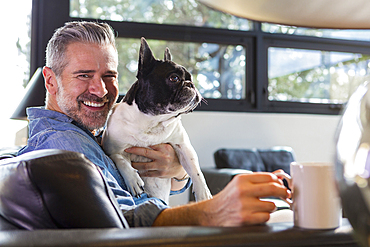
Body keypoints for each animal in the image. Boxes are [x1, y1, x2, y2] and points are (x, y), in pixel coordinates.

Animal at [101, 37, 212, 204]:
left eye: (190, 79)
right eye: (174, 78)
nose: (191, 84)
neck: (153, 121)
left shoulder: (183, 145)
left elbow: (195, 170)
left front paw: (203, 193)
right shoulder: (113, 148)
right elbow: (120, 160)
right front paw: (132, 179)